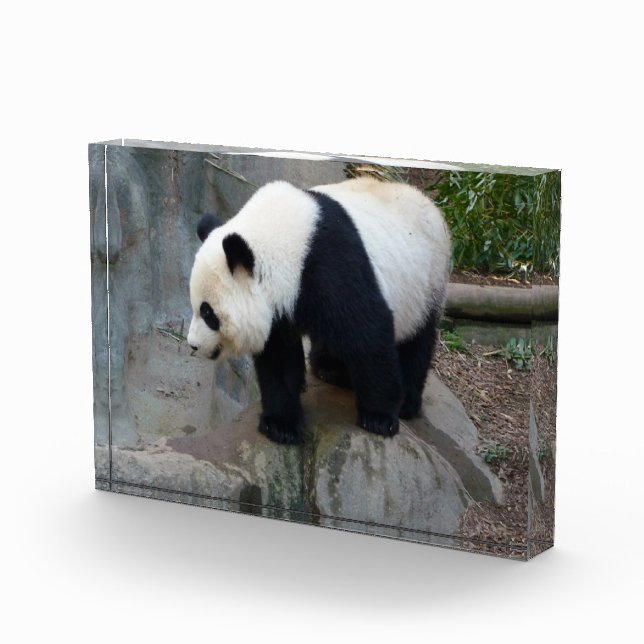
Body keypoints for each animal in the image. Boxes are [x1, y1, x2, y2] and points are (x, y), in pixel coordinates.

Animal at [187, 177, 451, 445]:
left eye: (208, 313)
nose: (193, 345)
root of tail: (428, 202)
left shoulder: (330, 264)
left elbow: (368, 334)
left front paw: (379, 417)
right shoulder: (281, 305)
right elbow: (279, 357)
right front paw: (281, 425)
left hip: (425, 283)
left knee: (416, 342)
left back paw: (406, 402)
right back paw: (330, 369)